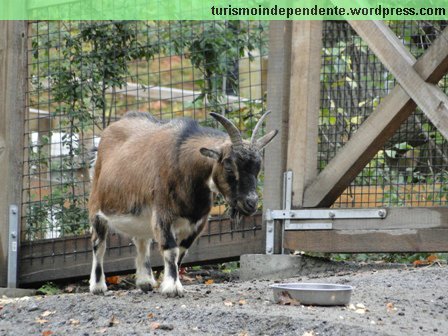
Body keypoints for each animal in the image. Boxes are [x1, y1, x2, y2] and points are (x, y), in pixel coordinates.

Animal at [87, 111, 276, 296]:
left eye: (258, 168)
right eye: (229, 167)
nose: (251, 203)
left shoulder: (197, 222)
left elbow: (181, 252)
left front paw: (168, 283)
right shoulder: (163, 214)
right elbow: (171, 250)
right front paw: (172, 288)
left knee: (142, 242)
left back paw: (145, 282)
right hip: (96, 207)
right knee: (99, 244)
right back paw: (98, 286)